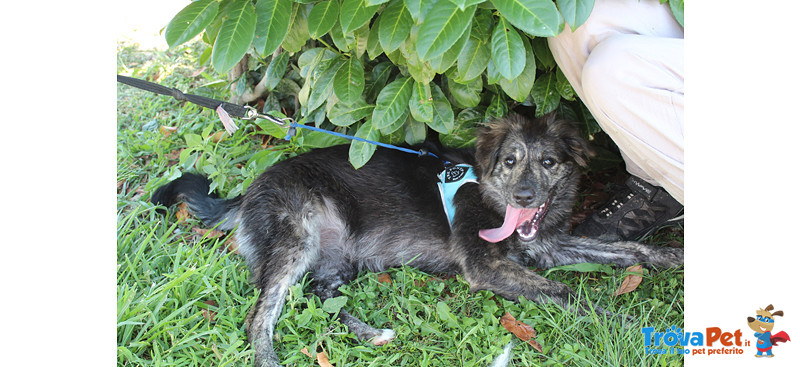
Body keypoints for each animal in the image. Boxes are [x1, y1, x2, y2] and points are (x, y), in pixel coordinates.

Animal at [153, 113, 684, 366]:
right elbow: (568, 292)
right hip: (295, 240)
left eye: (548, 162)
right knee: (260, 315)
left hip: (339, 258)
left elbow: (628, 251)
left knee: (322, 296)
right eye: (510, 162)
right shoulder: (487, 266)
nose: (525, 195)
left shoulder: (550, 247)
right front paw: (631, 326)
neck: (491, 196)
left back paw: (372, 333)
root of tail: (248, 191)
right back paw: (270, 359)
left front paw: (672, 257)